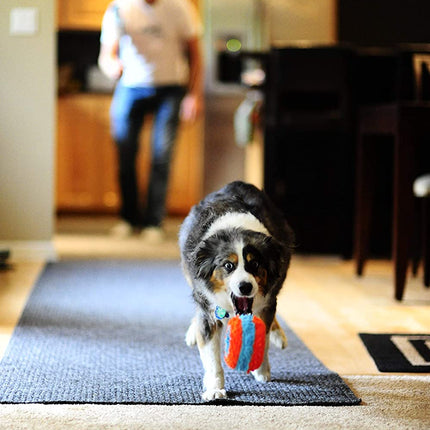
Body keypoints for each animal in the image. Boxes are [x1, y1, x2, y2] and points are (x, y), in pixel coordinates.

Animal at [179, 181, 296, 400]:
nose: (245, 286)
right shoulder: (209, 308)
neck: (236, 229)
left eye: (255, 264)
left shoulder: (266, 301)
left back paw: (278, 335)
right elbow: (212, 355)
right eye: (228, 266)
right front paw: (215, 388)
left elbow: (264, 337)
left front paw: (262, 370)